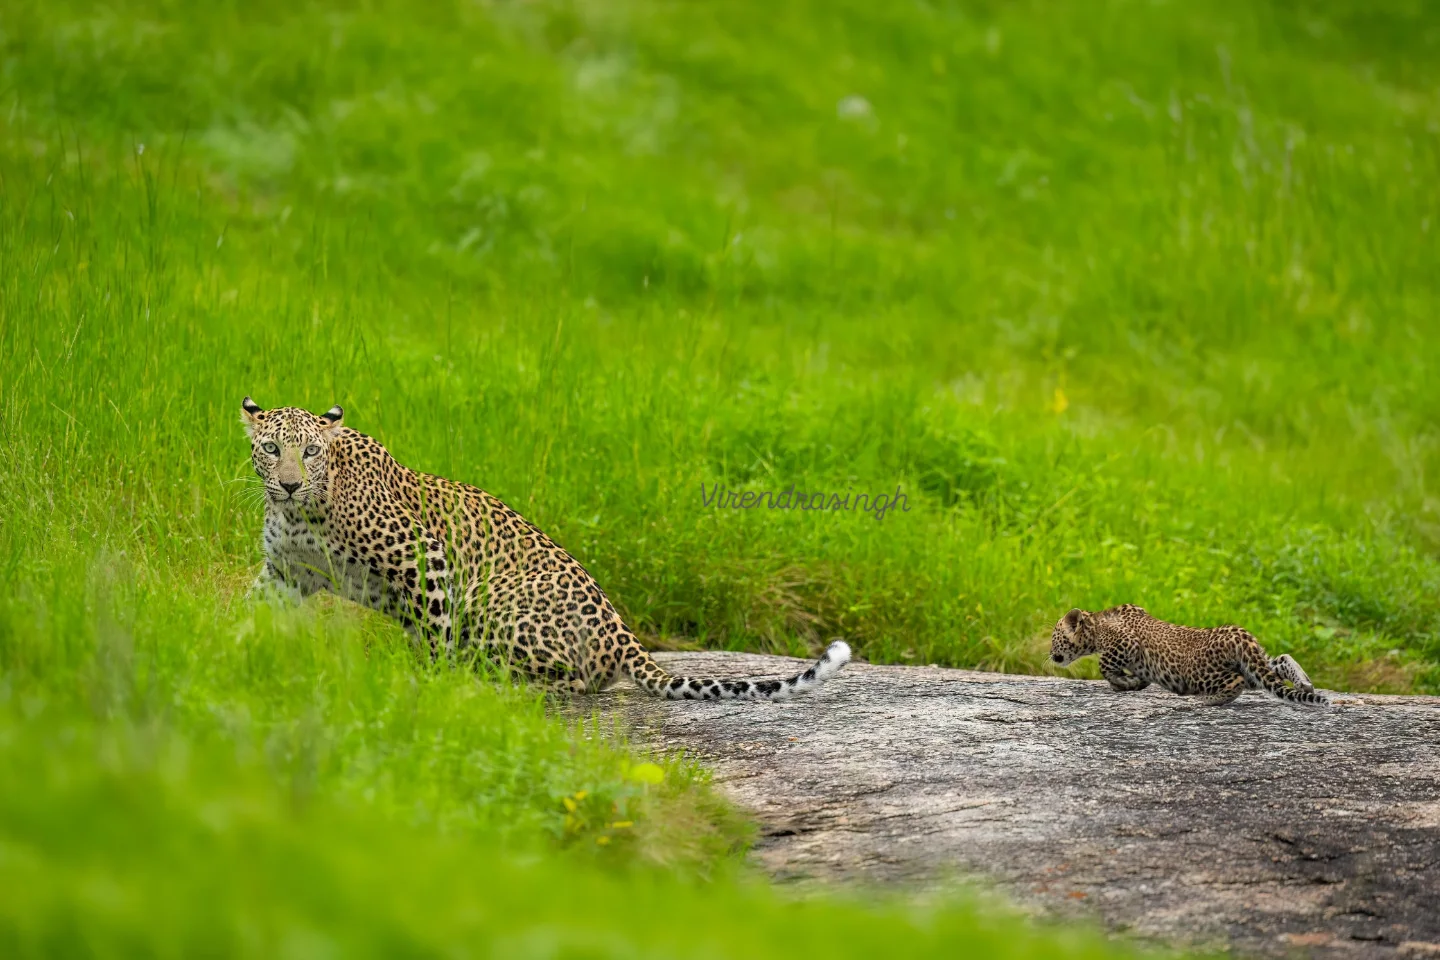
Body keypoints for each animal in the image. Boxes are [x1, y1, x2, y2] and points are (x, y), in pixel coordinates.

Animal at [240, 398, 850, 700]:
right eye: (271, 449)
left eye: (311, 453)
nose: (289, 483)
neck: (300, 512)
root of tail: (624, 635)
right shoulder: (287, 573)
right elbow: (251, 611)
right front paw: (226, 647)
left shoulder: (424, 557)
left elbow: (434, 634)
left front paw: (431, 685)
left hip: (493, 605)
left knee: (573, 680)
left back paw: (487, 677)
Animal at [1049, 605, 1330, 706]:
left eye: (1054, 637)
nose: (1050, 655)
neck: (1096, 625)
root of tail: (1239, 634)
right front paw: (1132, 683)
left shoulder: (1126, 643)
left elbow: (1104, 665)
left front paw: (1123, 682)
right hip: (1253, 667)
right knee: (1280, 661)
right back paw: (1305, 682)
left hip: (1200, 673)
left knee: (1235, 682)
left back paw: (1207, 700)